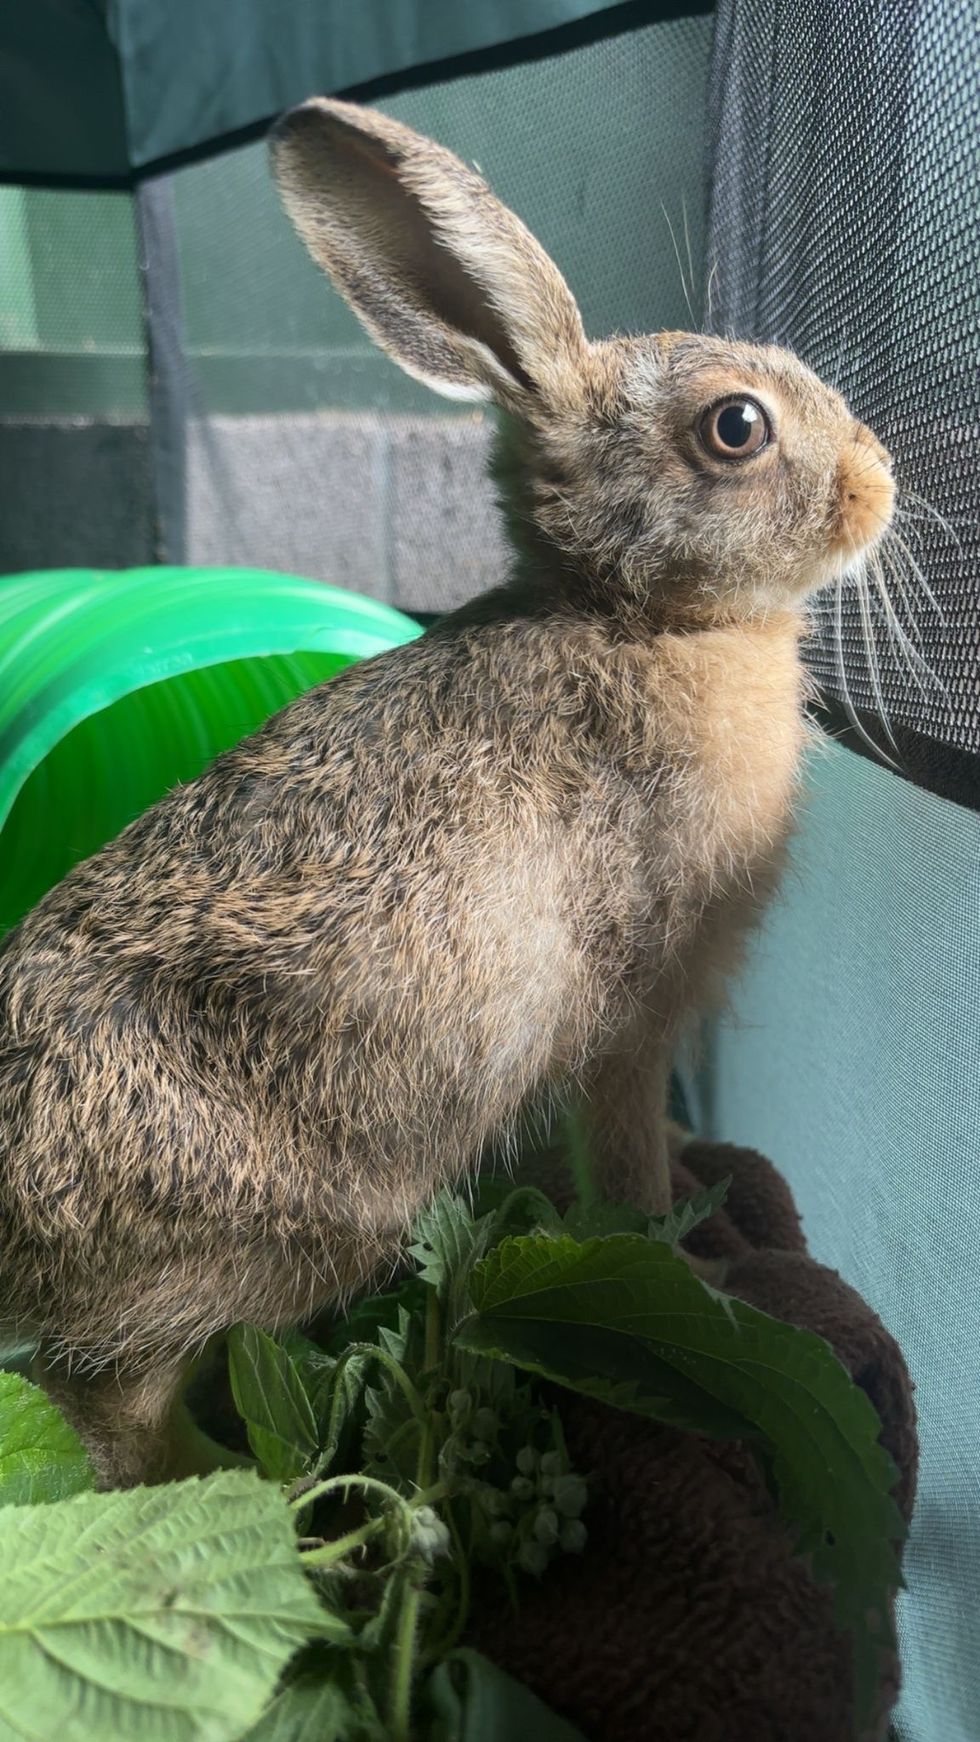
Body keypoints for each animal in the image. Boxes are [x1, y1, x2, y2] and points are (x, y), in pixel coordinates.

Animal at [0, 98, 895, 1489]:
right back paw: (264, 1500)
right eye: (735, 428)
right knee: (107, 1410)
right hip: (267, 1237)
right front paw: (692, 1265)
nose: (880, 479)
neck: (635, 617)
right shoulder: (630, 1017)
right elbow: (626, 1158)